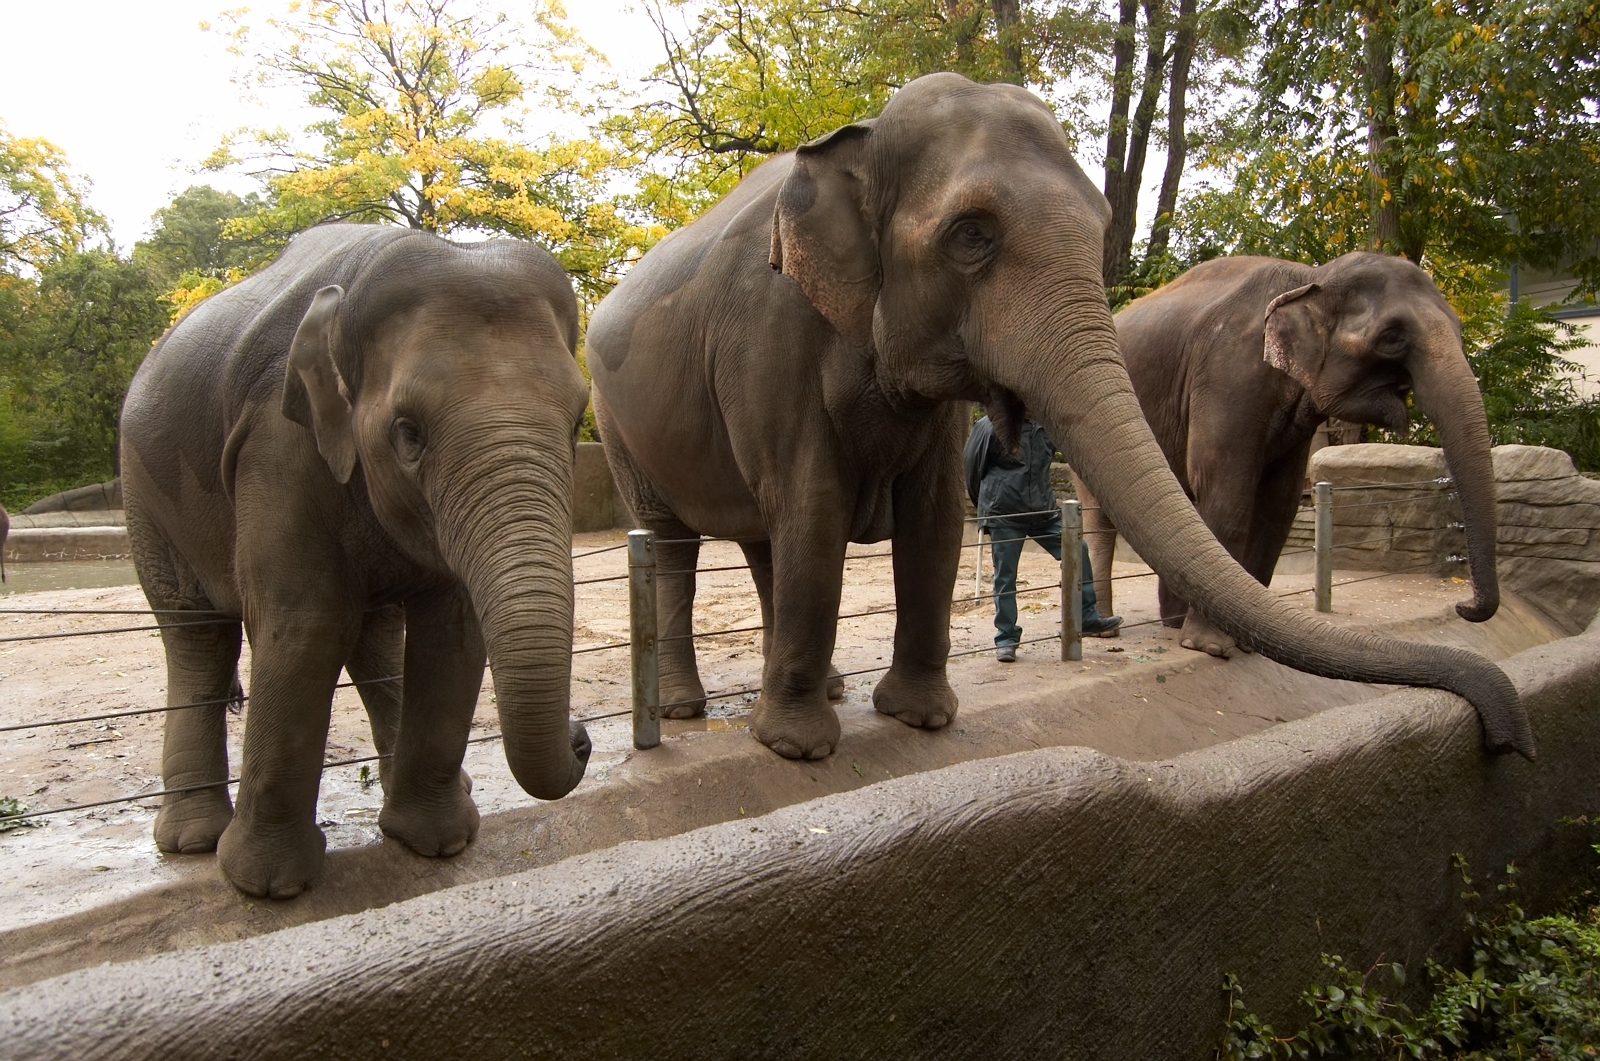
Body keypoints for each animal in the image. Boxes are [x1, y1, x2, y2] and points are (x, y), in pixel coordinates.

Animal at [120, 222, 595, 896]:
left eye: (578, 420)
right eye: (408, 432)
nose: (582, 737)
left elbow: (452, 628)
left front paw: (438, 843)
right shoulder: (278, 443)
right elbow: (305, 623)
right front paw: (267, 886)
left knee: (372, 638)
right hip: (144, 494)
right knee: (196, 636)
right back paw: (192, 841)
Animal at [1075, 252, 1497, 659]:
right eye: (1392, 337)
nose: (1463, 607)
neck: (1312, 277)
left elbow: (1279, 503)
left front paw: (1247, 643)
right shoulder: (1229, 372)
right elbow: (1225, 487)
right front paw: (1211, 647)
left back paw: (1172, 624)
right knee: (1103, 516)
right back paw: (1108, 629)